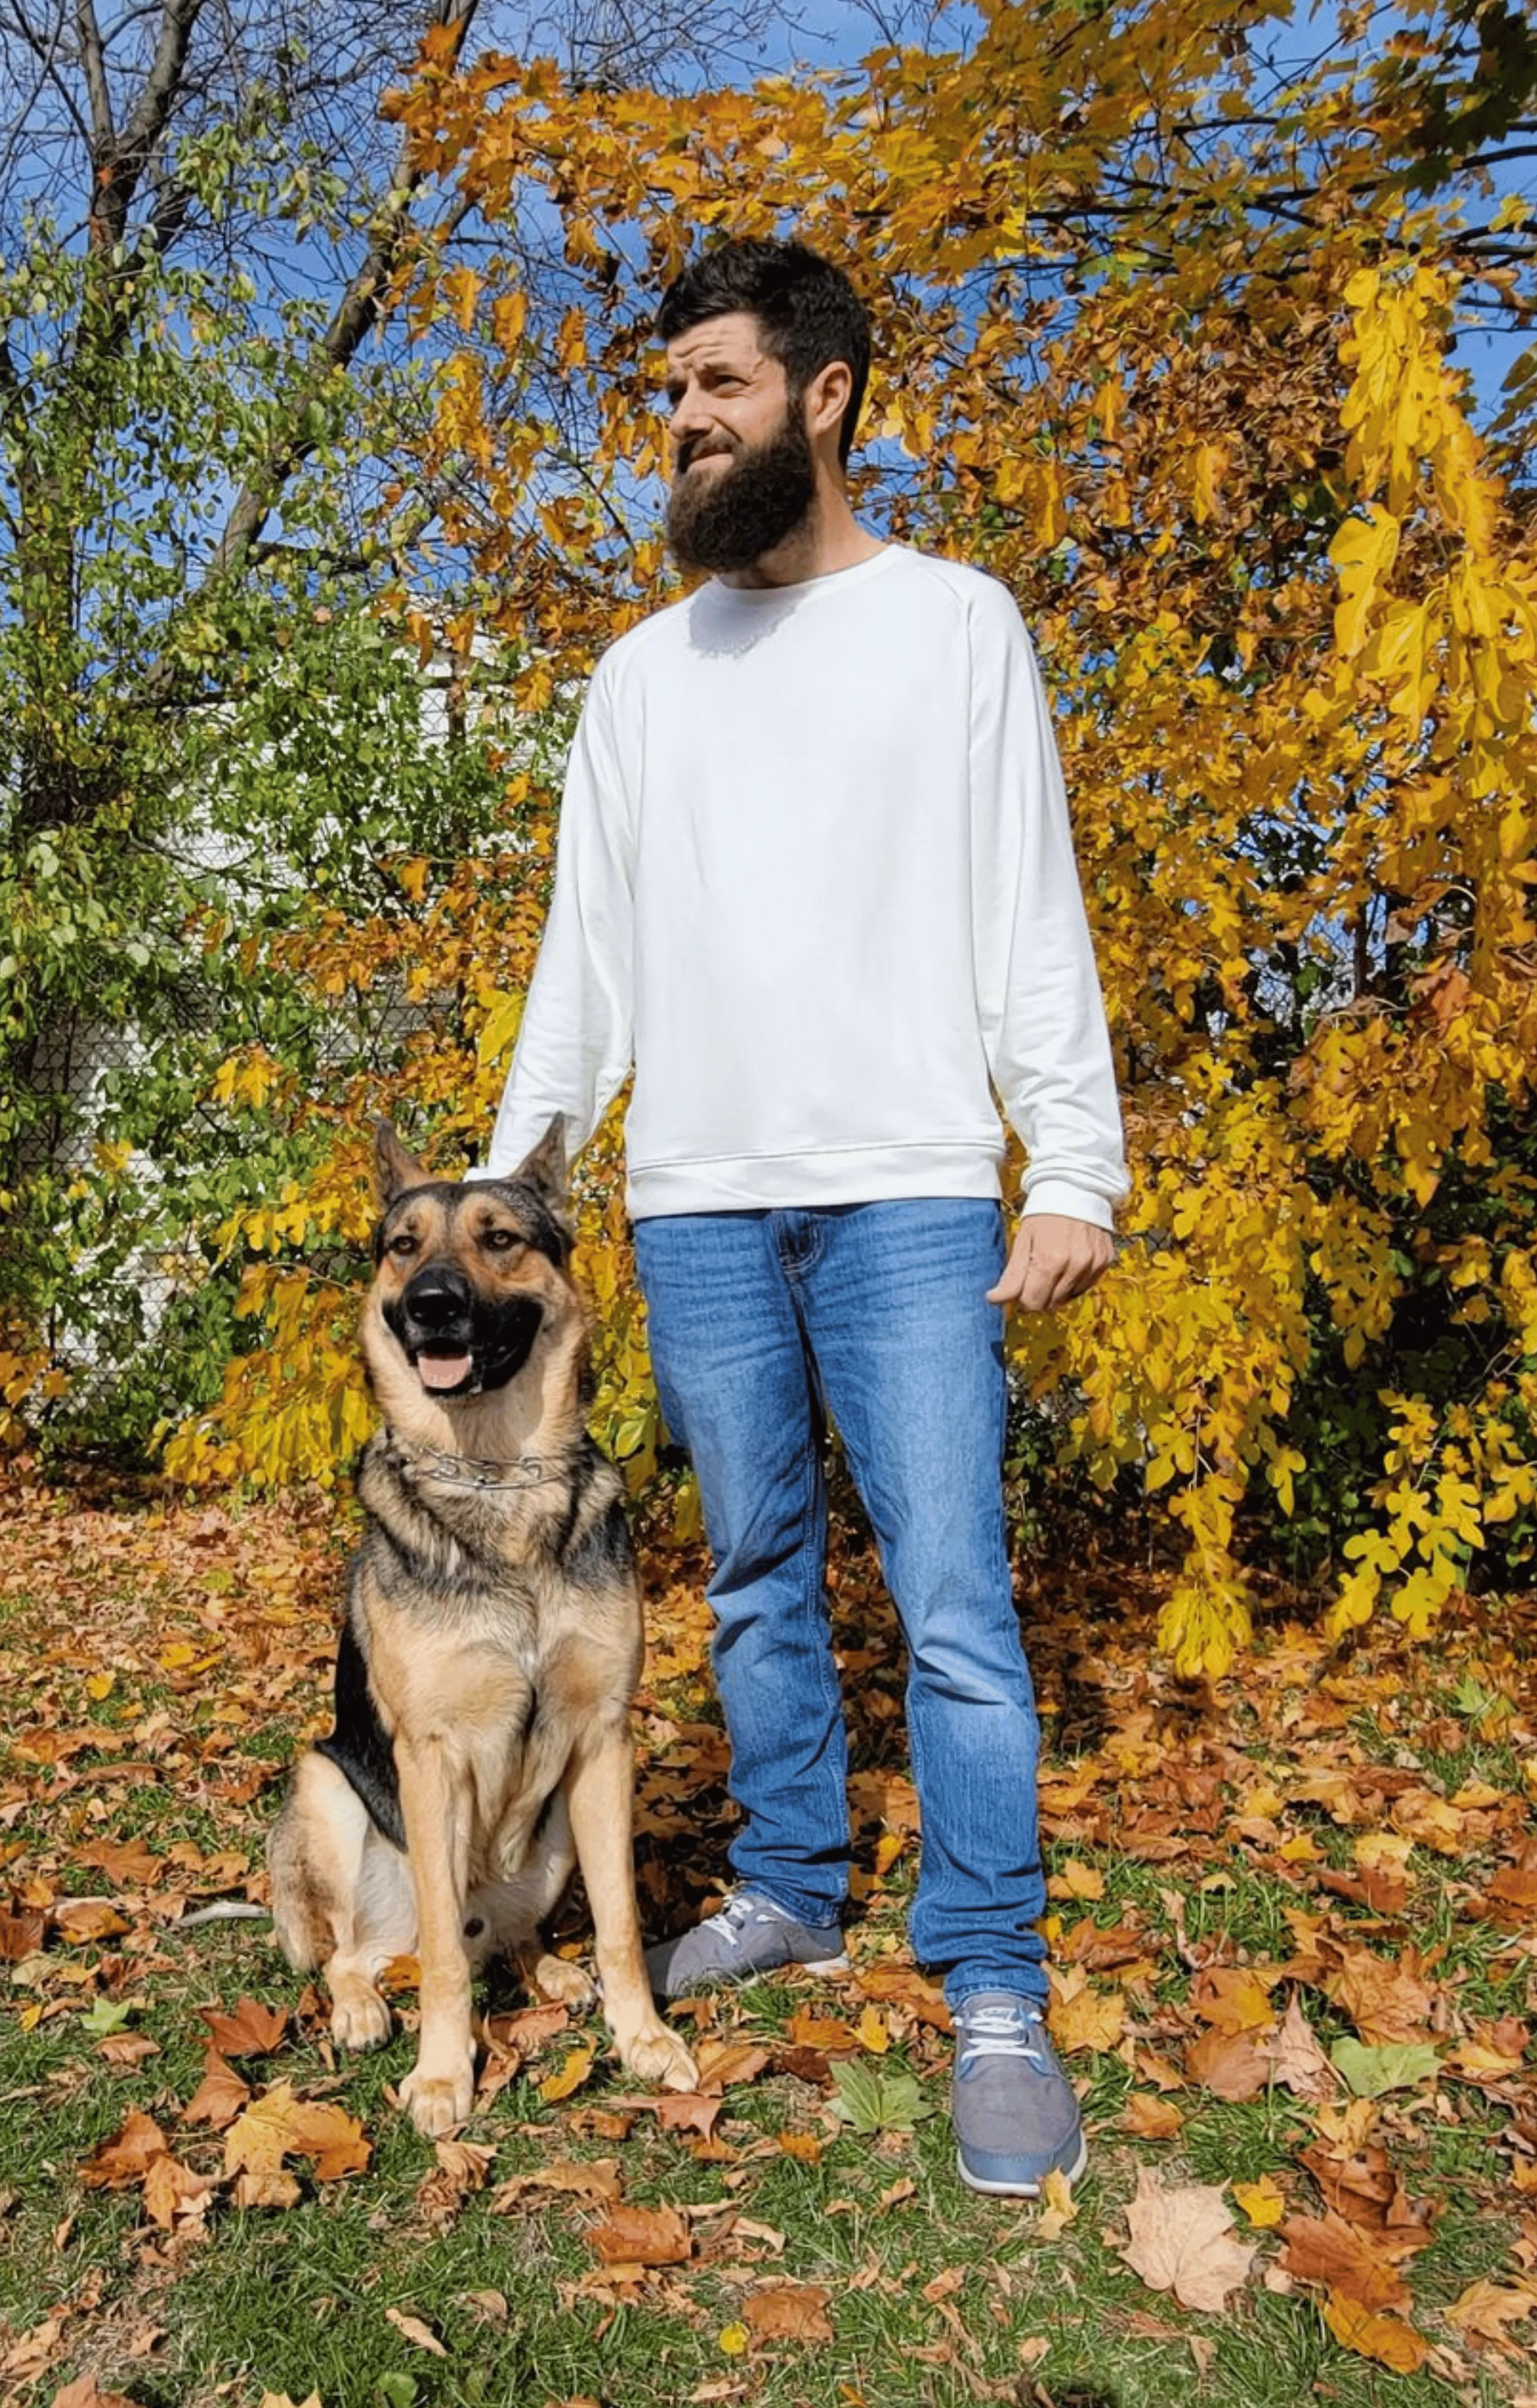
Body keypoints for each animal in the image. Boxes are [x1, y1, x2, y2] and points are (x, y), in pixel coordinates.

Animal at [271, 1117, 699, 2138]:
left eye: (499, 1239)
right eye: (403, 1245)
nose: (432, 1307)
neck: (500, 1478)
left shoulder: (604, 1742)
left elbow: (621, 1925)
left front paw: (643, 2037)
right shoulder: (429, 1757)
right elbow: (440, 1964)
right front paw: (441, 2077)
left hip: (554, 1837)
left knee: (503, 1936)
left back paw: (549, 1970)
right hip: (326, 1787)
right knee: (365, 1950)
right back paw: (359, 2007)